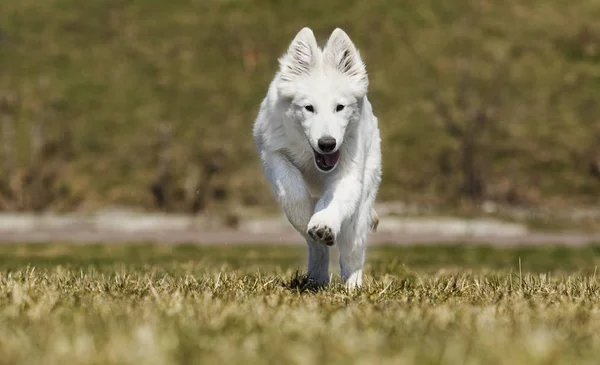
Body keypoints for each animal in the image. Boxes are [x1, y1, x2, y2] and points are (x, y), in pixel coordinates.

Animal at [251, 27, 382, 288]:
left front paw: (323, 224)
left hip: (363, 202)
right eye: (308, 108)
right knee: (317, 249)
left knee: (352, 250)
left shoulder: (348, 172)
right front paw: (306, 218)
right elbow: (293, 192)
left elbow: (332, 201)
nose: (327, 144)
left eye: (340, 107)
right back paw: (317, 279)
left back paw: (352, 286)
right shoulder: (272, 153)